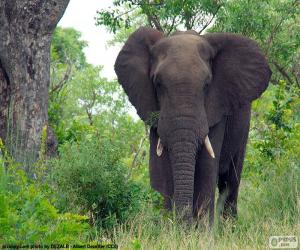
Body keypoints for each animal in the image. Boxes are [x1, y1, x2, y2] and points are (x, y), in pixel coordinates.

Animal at [114, 26, 272, 224]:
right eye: (158, 84)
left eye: (206, 84)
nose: (183, 224)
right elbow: (160, 170)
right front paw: (169, 228)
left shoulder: (217, 106)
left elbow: (206, 168)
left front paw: (201, 231)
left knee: (231, 180)